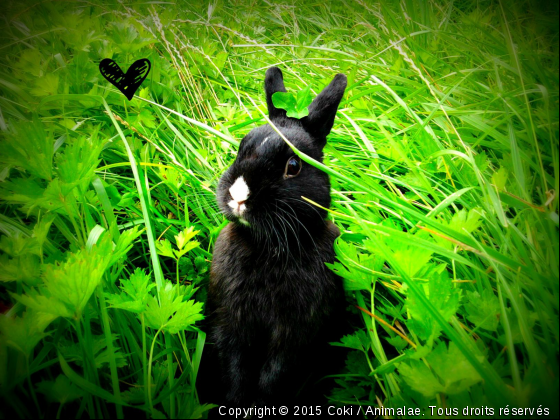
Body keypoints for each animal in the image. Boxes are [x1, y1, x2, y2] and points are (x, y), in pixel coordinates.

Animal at [203, 68, 348, 406]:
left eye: (293, 166)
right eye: (241, 148)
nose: (238, 195)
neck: (267, 246)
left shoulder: (295, 335)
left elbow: (274, 376)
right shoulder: (230, 323)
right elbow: (235, 368)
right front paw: (237, 402)